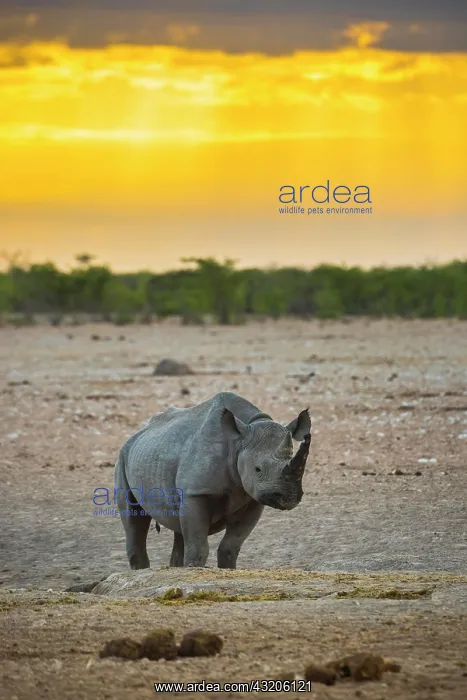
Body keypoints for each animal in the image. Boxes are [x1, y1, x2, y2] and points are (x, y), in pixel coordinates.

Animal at [114, 391, 311, 569]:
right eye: (257, 469)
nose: (289, 497)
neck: (239, 442)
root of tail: (137, 433)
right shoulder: (196, 493)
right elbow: (198, 547)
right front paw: (195, 568)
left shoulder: (253, 499)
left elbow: (230, 546)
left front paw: (227, 569)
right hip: (123, 457)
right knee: (134, 521)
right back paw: (141, 569)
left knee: (179, 529)